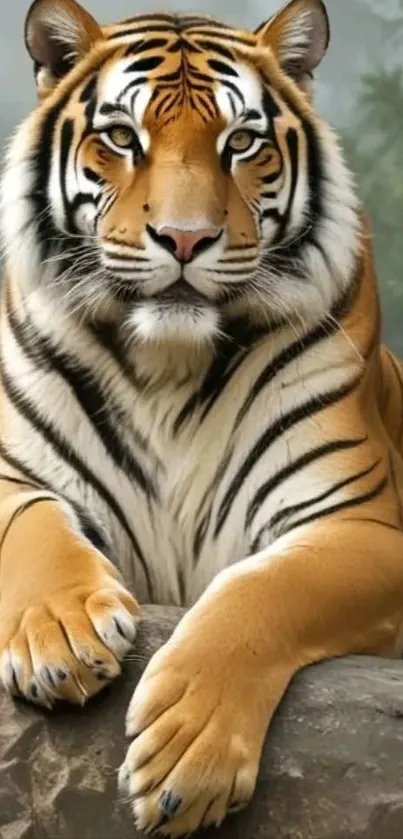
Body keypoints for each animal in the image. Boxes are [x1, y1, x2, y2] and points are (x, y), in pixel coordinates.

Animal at [0, 0, 403, 834]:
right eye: (123, 137)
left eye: (240, 142)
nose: (185, 239)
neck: (167, 362)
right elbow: (33, 522)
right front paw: (58, 634)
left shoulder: (360, 521)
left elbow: (265, 588)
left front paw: (189, 753)